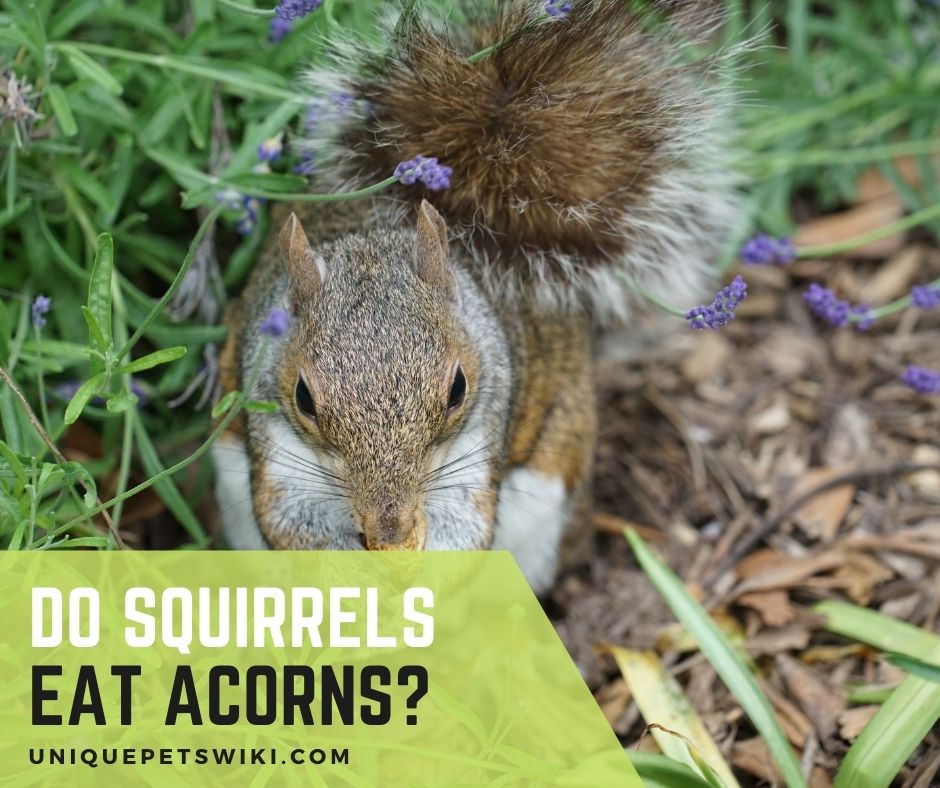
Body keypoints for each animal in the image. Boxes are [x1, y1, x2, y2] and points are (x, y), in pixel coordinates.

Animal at [213, 0, 740, 593]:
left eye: (457, 389)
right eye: (304, 397)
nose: (390, 525)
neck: (372, 240)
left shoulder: (485, 429)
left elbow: (465, 526)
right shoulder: (274, 438)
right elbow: (291, 524)